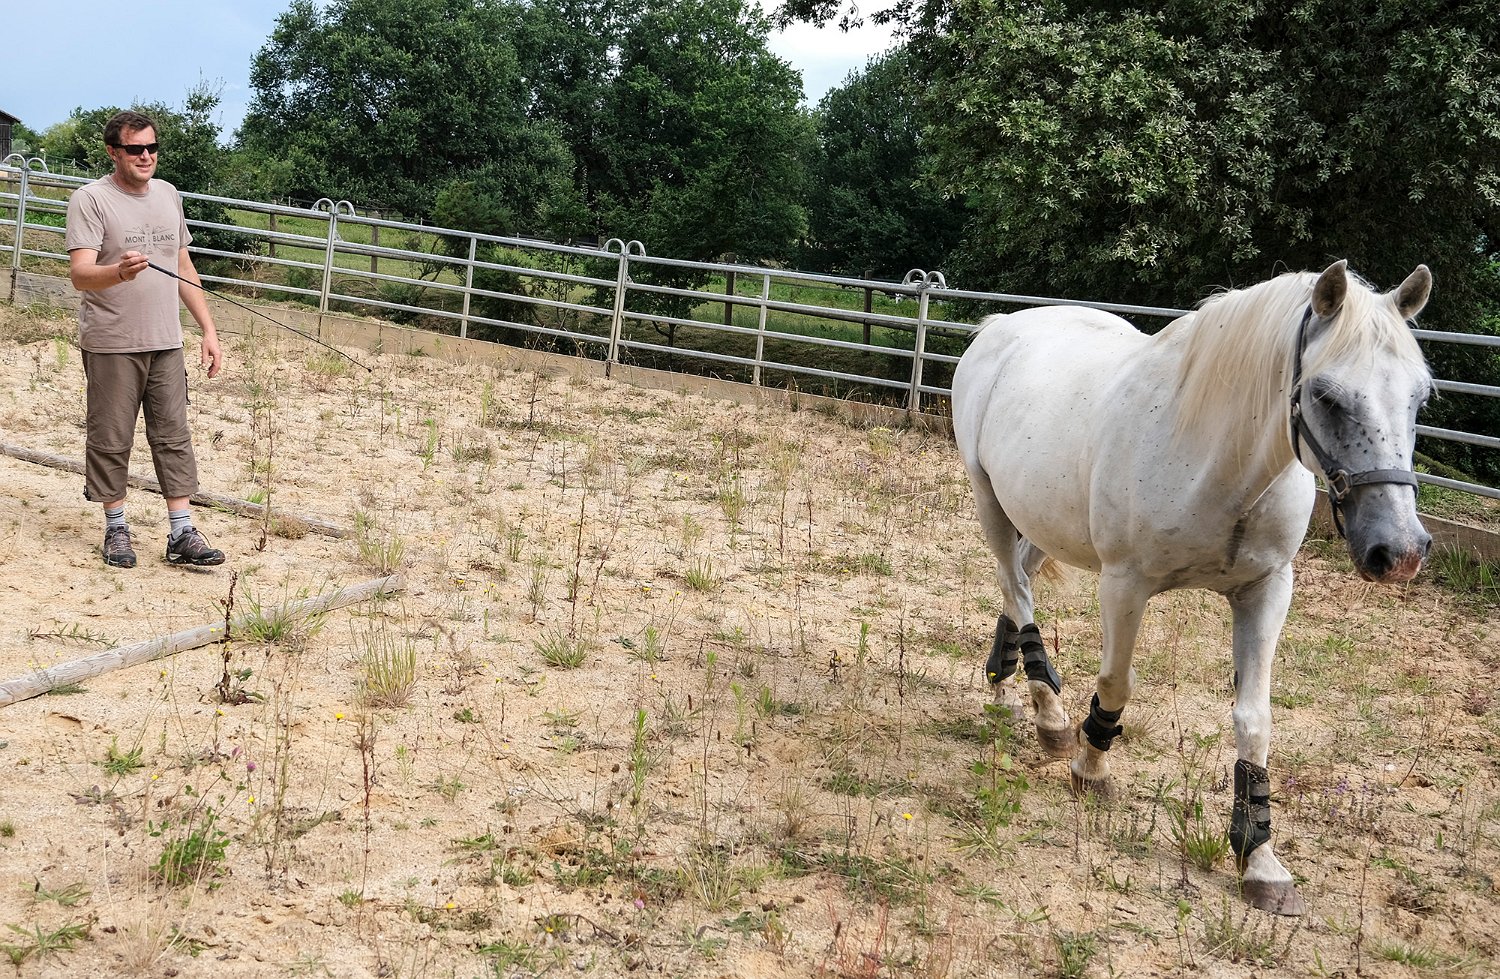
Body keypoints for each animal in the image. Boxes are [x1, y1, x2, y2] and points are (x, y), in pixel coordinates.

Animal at [950, 260, 1433, 915]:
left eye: (1420, 396)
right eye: (1327, 396)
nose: (1399, 552)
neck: (1220, 463)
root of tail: (1001, 326)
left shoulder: (1266, 590)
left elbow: (1254, 718)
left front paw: (1260, 859)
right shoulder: (1124, 585)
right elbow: (1116, 682)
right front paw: (1090, 766)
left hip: (1043, 518)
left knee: (1017, 584)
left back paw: (1008, 683)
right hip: (990, 503)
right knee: (1014, 585)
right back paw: (1049, 715)